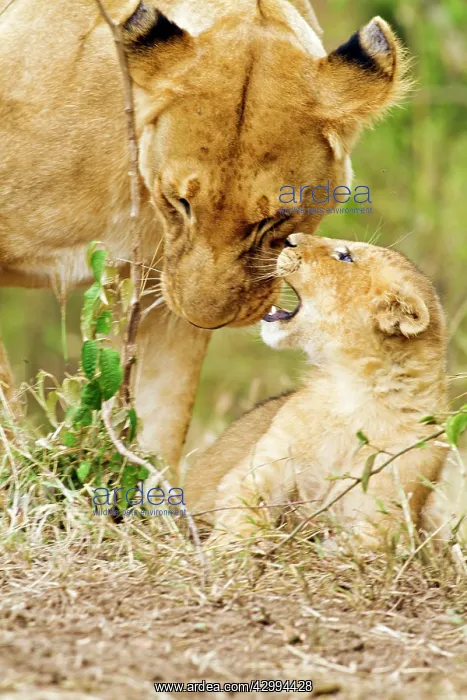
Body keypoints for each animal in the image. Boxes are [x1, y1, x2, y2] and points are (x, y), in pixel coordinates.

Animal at [184, 234, 449, 546]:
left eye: (345, 256)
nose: (288, 239)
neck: (353, 390)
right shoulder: (262, 467)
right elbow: (244, 513)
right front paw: (230, 549)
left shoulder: (386, 518)